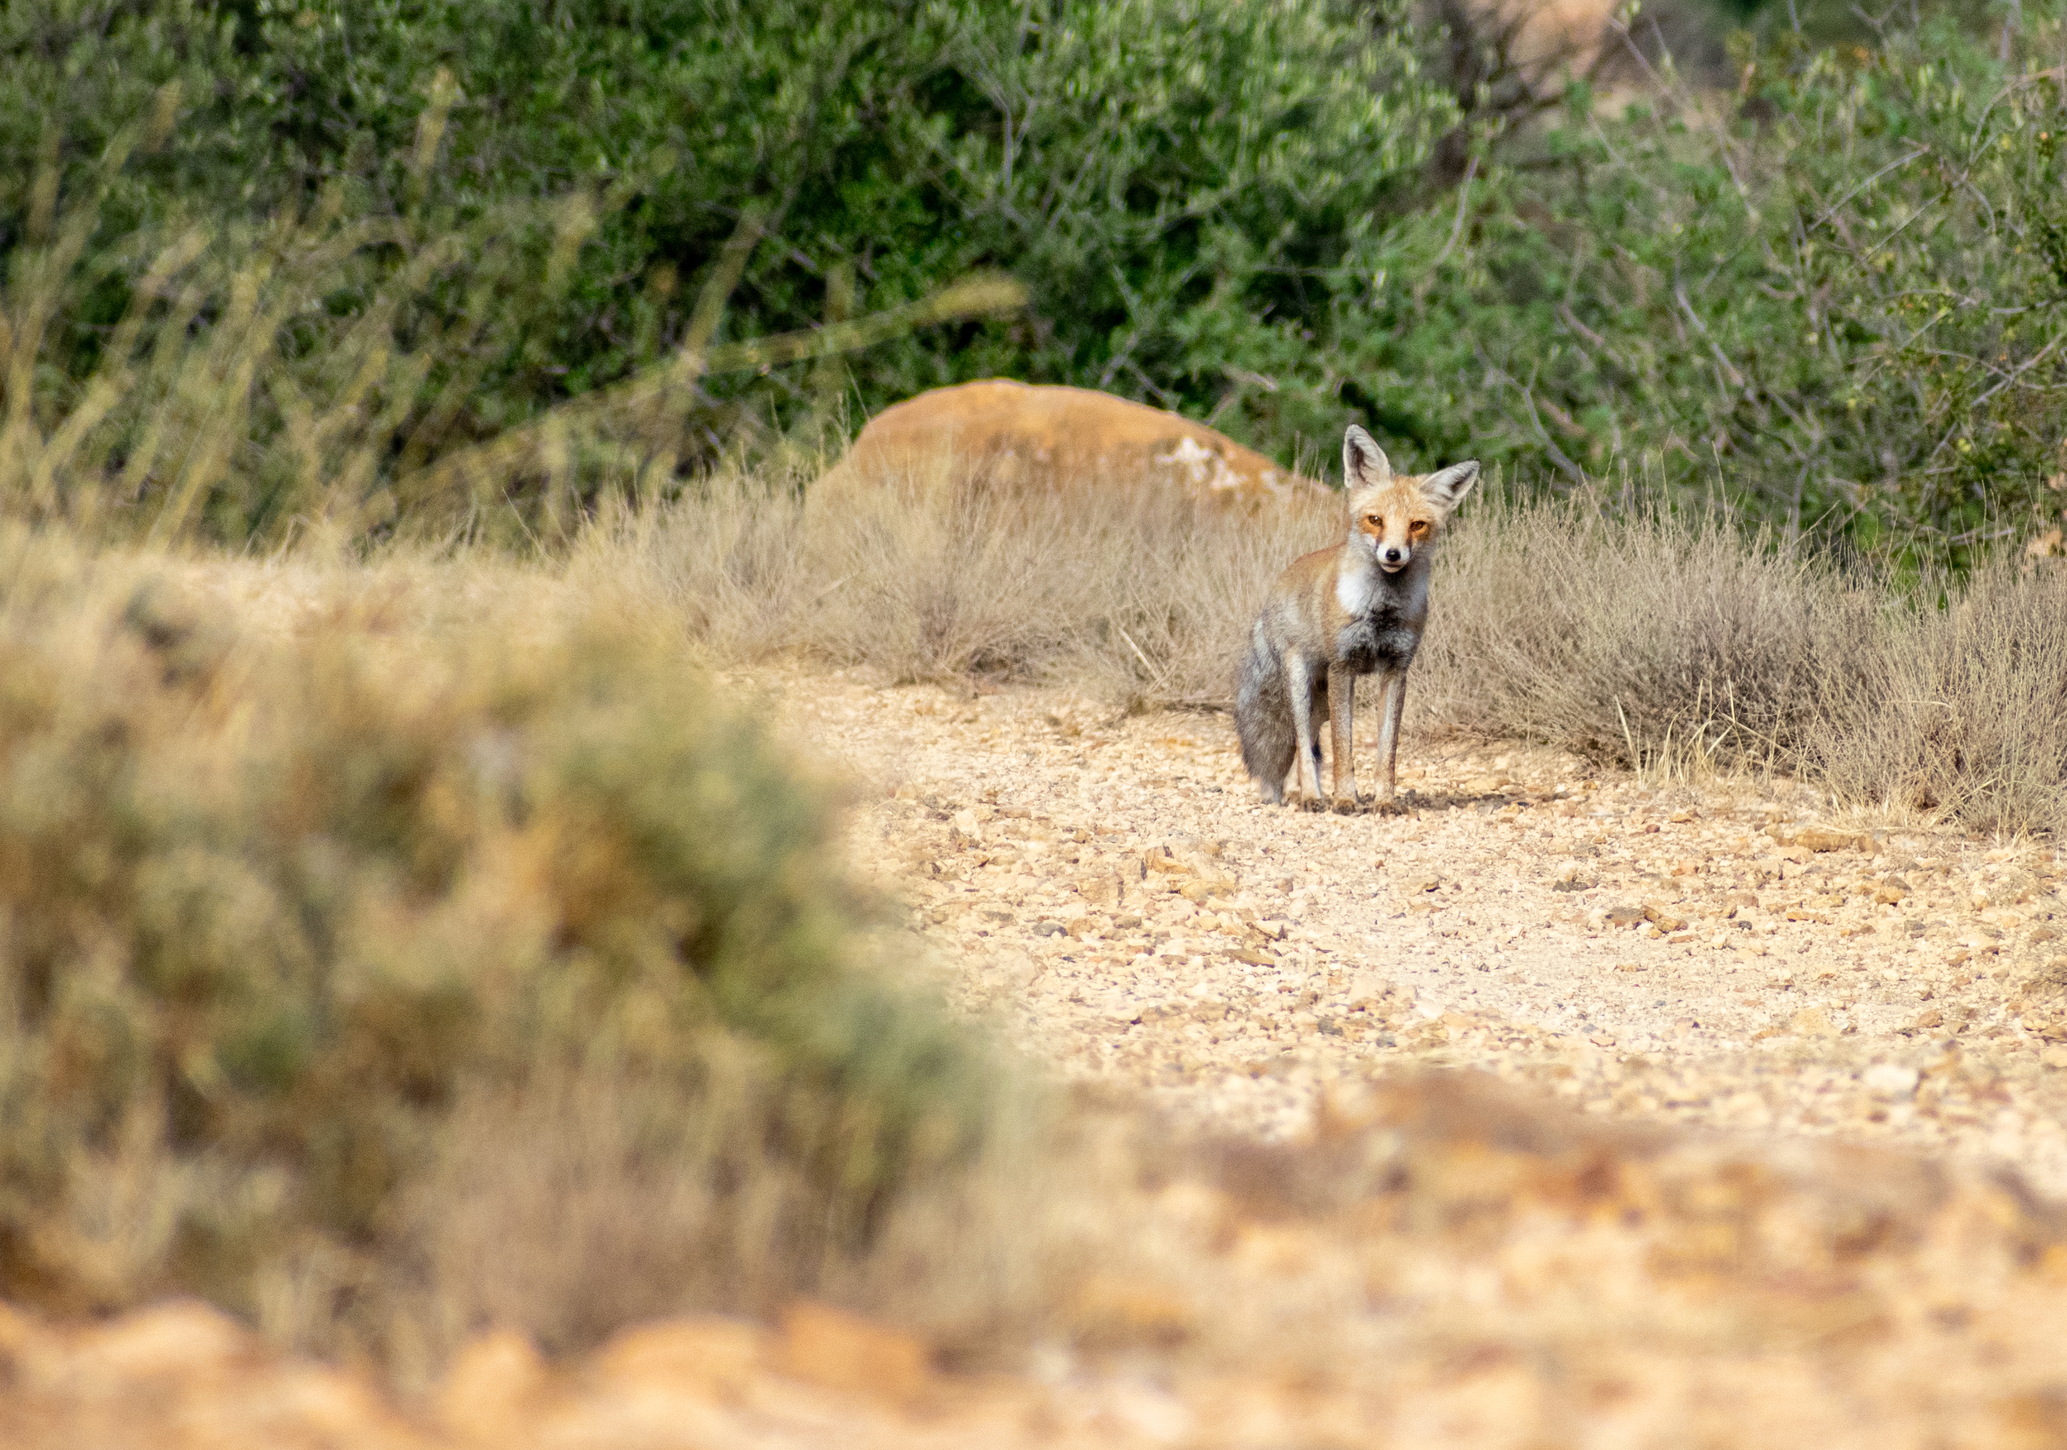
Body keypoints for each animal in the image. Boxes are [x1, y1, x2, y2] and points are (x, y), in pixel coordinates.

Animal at [1236, 425, 1478, 812]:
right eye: (1375, 520)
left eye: (1417, 525)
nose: (1393, 554)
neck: (1380, 610)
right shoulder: (1343, 666)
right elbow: (1343, 748)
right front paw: (1346, 799)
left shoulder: (1396, 670)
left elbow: (1386, 751)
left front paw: (1384, 801)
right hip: (1302, 686)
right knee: (1303, 746)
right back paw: (1311, 796)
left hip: (1321, 702)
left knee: (1310, 749)